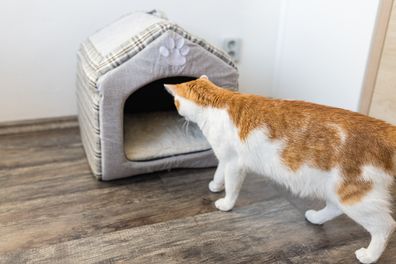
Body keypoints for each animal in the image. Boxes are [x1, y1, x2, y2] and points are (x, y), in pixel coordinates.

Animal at [164, 75, 396, 262]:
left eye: (175, 102)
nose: (176, 111)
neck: (218, 104)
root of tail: (384, 128)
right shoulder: (226, 158)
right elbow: (219, 172)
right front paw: (214, 185)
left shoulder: (235, 165)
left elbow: (231, 187)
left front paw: (225, 203)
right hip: (337, 191)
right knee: (334, 208)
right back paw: (315, 218)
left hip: (356, 196)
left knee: (385, 226)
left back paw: (369, 256)